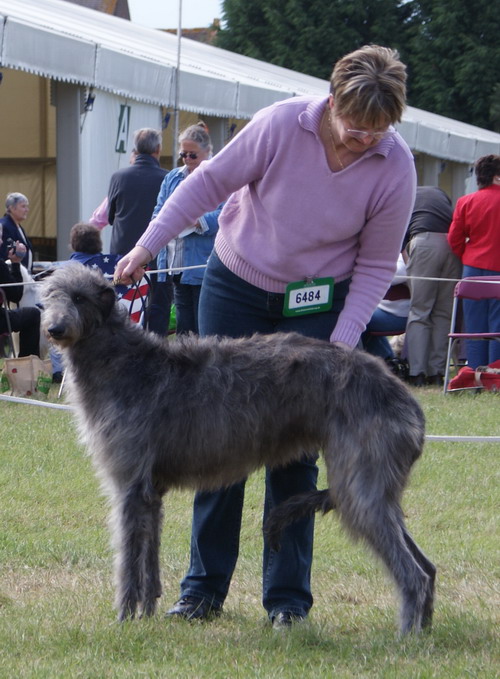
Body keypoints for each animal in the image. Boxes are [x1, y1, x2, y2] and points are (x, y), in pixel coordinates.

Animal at [41, 264, 436, 632]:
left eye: (80, 298)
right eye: (49, 296)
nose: (54, 330)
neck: (122, 360)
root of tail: (407, 402)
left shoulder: (129, 485)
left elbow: (127, 558)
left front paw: (123, 619)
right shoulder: (150, 492)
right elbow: (148, 556)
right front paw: (148, 612)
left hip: (360, 484)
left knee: (411, 573)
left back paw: (406, 637)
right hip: (376, 486)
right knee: (426, 565)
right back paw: (426, 629)